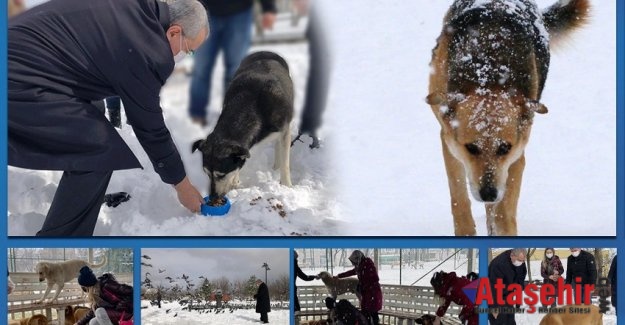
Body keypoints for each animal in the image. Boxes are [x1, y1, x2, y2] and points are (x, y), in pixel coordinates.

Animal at [424, 0, 588, 234]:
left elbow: (503, 214)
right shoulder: (450, 145)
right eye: (471, 147)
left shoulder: (516, 158)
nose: (488, 193)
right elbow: (459, 199)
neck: (488, 73)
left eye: (504, 148)